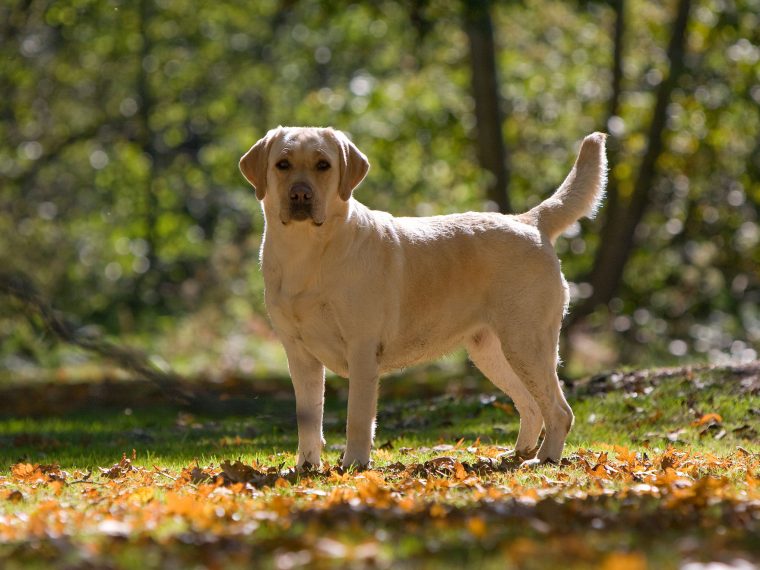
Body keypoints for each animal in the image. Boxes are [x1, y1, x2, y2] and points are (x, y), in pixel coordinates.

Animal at [238, 127, 604, 466]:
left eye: (323, 165)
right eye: (283, 164)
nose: (300, 194)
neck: (306, 252)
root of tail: (529, 220)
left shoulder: (362, 349)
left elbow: (358, 418)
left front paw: (354, 464)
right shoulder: (299, 353)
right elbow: (308, 418)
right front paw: (307, 466)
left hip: (526, 344)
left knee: (560, 411)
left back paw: (544, 458)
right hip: (493, 352)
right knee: (531, 405)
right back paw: (518, 453)